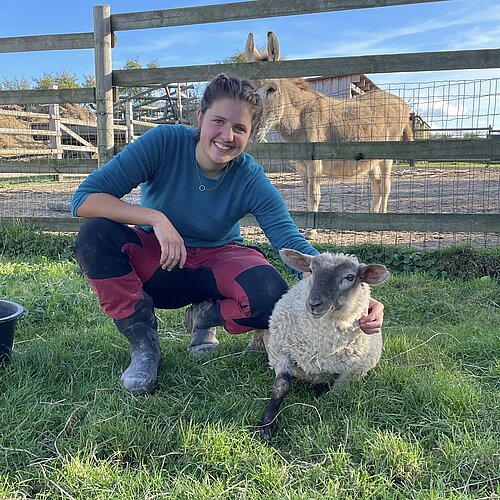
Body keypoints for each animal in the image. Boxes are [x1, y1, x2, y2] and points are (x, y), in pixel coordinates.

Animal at [254, 248, 390, 440]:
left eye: (350, 277)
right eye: (311, 270)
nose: (314, 304)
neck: (319, 344)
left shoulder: (352, 372)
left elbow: (333, 396)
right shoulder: (280, 352)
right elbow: (281, 385)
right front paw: (266, 425)